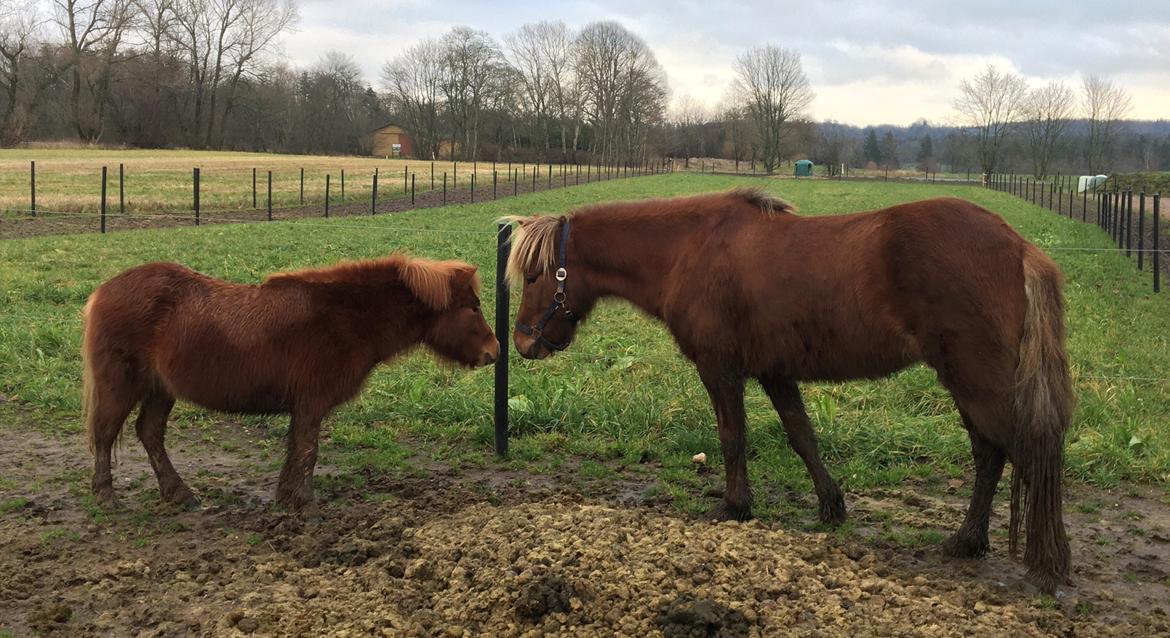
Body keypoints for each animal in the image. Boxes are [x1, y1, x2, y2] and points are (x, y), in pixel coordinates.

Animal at [84, 254, 498, 508]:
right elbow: (307, 451)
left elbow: (296, 449)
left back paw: (178, 493)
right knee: (105, 434)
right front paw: (303, 502)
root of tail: (103, 290)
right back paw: (105, 496)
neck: (344, 317)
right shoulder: (312, 403)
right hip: (121, 385)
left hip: (160, 390)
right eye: (474, 307)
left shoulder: (304, 406)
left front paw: (287, 497)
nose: (494, 351)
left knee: (149, 432)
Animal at [507, 187, 1071, 592]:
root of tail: (1019, 247)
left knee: (1025, 450)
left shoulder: (720, 368)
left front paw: (735, 507)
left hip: (976, 378)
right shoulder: (776, 372)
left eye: (535, 274)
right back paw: (968, 541)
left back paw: (1046, 563)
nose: (523, 343)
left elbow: (732, 437)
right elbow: (802, 437)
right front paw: (831, 506)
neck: (690, 249)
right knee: (991, 453)